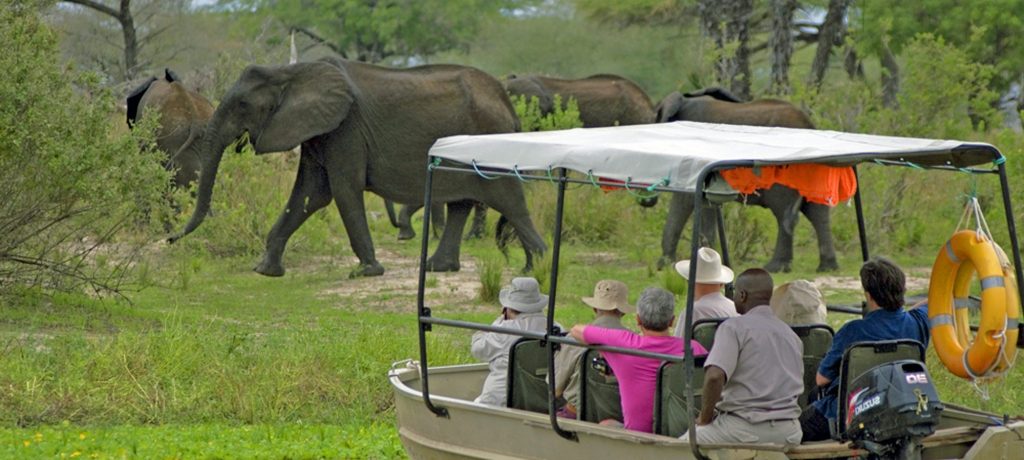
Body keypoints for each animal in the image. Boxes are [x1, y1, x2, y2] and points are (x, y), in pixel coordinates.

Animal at [167, 59, 548, 278]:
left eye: (243, 105)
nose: (168, 238)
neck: (291, 72)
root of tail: (507, 103)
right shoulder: (320, 129)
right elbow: (311, 194)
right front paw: (265, 271)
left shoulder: (345, 127)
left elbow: (341, 190)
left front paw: (368, 272)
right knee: (462, 203)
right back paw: (439, 268)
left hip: (491, 142)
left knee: (508, 200)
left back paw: (538, 267)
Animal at [651, 88, 835, 270]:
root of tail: (809, 124)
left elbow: (684, 200)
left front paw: (664, 266)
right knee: (817, 211)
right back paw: (827, 267)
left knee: (784, 212)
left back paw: (774, 267)